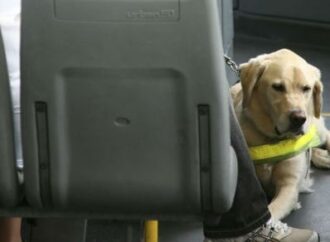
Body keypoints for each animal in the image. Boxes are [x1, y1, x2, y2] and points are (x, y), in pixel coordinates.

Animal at [231, 48, 330, 219]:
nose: (299, 118)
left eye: (306, 88)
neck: (271, 140)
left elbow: (273, 212)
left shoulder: (288, 186)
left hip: (316, 127)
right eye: (277, 87)